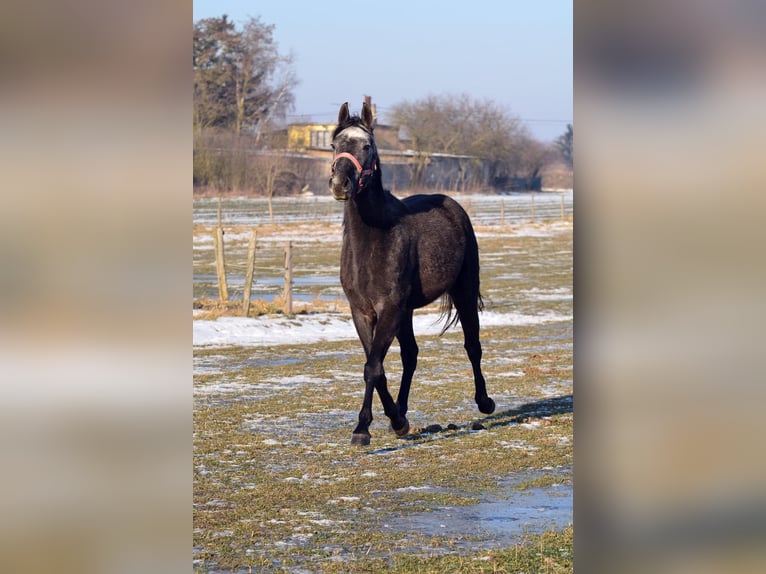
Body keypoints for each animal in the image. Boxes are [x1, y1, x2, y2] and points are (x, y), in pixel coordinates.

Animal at [329, 101, 495, 446]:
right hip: (406, 312)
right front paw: (395, 420)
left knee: (472, 345)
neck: (374, 237)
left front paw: (362, 429)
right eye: (334, 145)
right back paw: (402, 414)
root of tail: (453, 206)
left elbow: (372, 367)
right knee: (411, 355)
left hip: (463, 292)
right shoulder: (362, 312)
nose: (340, 185)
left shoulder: (389, 309)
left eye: (367, 146)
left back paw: (485, 402)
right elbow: (376, 367)